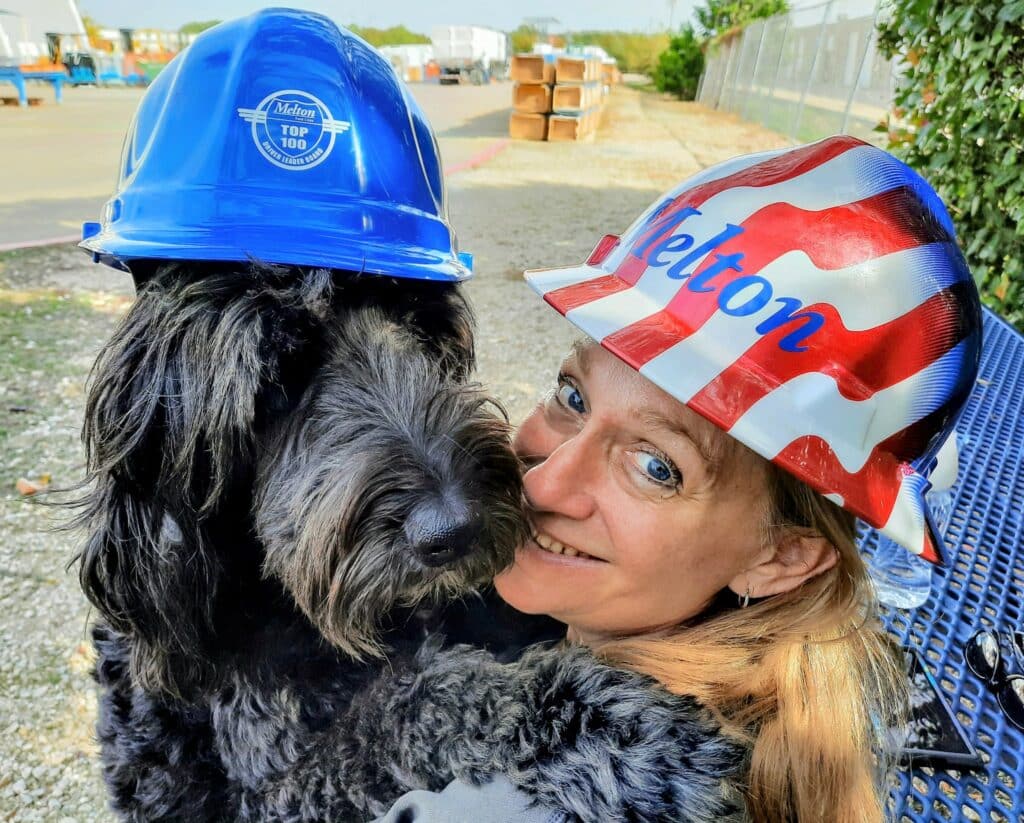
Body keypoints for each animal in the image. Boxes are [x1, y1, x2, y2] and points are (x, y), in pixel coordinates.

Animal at [75, 260, 741, 818]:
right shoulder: (268, 793)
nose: (458, 528)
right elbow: (404, 709)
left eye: (420, 326)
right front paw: (614, 726)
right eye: (276, 382)